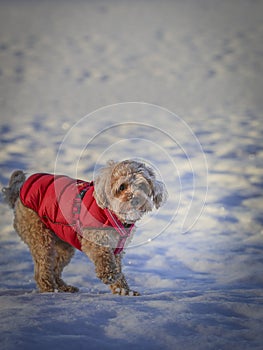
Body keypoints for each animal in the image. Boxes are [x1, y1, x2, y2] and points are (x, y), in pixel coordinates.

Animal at [2, 161, 168, 296]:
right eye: (122, 187)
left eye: (142, 186)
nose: (135, 199)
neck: (113, 214)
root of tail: (20, 189)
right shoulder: (96, 240)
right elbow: (105, 259)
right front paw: (109, 275)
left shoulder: (117, 247)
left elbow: (119, 269)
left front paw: (124, 290)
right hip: (40, 236)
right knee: (42, 269)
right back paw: (50, 289)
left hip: (64, 245)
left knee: (55, 268)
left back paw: (64, 287)